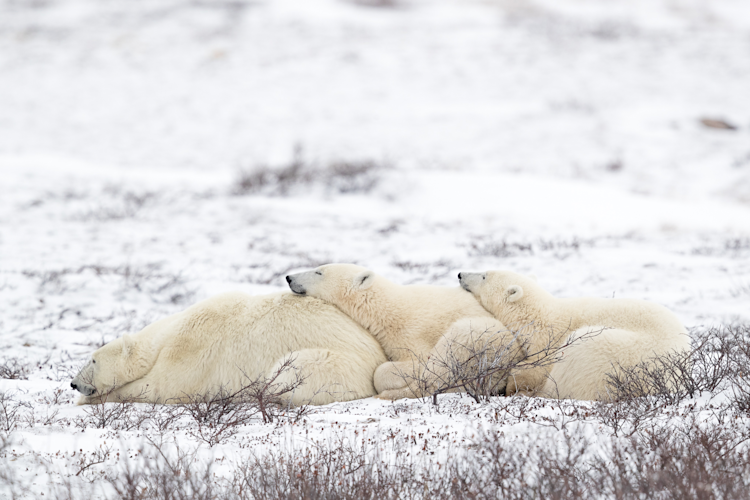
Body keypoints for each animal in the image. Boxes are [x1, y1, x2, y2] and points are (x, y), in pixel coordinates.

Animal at [70, 292, 387, 406]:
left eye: (93, 360)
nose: (73, 383)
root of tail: (379, 356)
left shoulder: (192, 348)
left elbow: (161, 387)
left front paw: (87, 400)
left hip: (337, 363)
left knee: (289, 373)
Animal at [286, 264, 518, 400]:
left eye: (319, 271)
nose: (289, 277)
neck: (389, 309)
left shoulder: (412, 332)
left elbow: (415, 364)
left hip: (480, 338)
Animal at [457, 270, 691, 400]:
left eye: (484, 275)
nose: (460, 275)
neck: (538, 316)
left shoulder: (548, 340)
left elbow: (534, 369)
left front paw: (515, 384)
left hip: (609, 354)